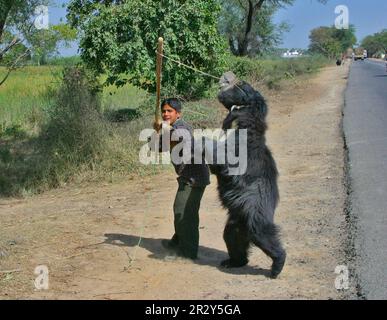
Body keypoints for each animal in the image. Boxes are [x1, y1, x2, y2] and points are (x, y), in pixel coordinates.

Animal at [211, 71, 286, 278]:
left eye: (243, 85)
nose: (226, 76)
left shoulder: (240, 149)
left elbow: (221, 157)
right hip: (235, 223)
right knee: (232, 239)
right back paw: (233, 261)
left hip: (255, 215)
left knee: (264, 236)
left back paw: (277, 266)